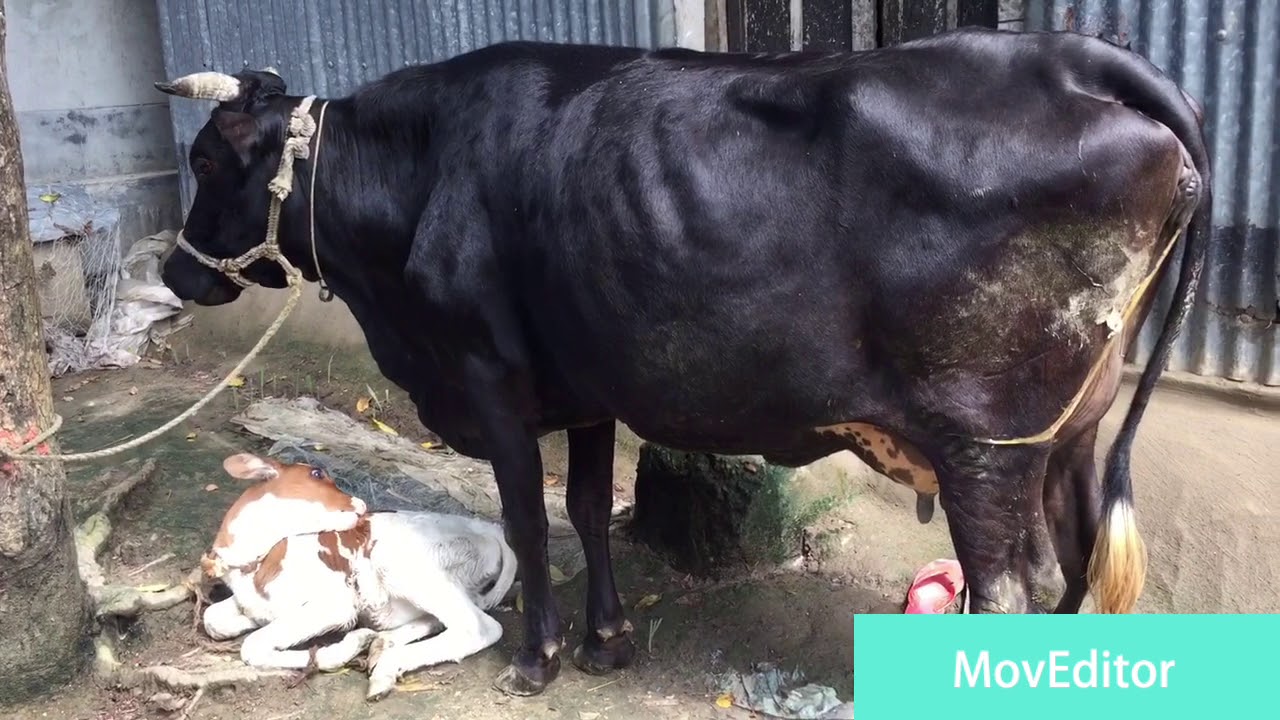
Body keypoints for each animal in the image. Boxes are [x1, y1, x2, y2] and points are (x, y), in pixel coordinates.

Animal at [155, 26, 1211, 697]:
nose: (173, 271)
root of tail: (1074, 57)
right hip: (1072, 434)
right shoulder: (582, 390)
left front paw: (537, 660)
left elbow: (529, 519)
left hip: (985, 446)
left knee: (1006, 592)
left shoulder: (490, 380)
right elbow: (587, 508)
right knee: (1078, 562)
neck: (421, 175)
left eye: (206, 163)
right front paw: (606, 641)